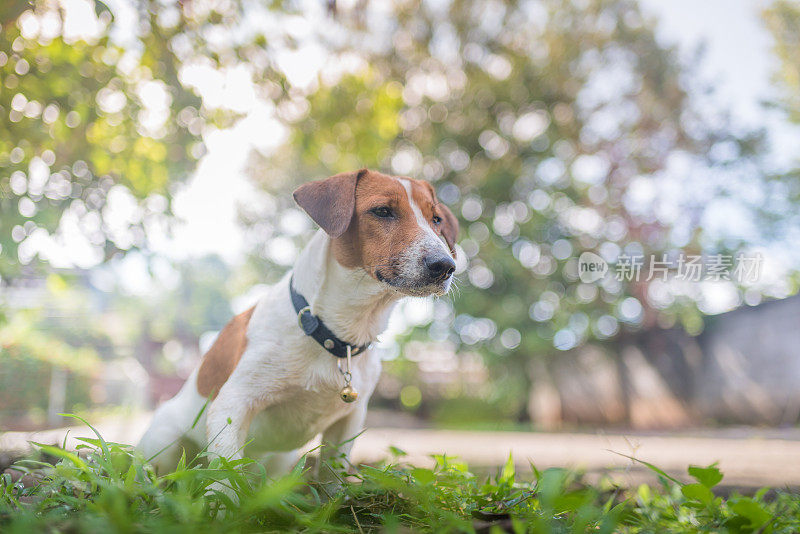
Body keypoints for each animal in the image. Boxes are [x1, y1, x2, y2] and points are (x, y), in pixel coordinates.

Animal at [139, 171, 456, 482]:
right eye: (382, 211)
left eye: (436, 219)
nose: (446, 265)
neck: (333, 333)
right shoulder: (232, 405)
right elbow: (226, 479)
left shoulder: (348, 422)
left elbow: (333, 480)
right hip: (166, 445)